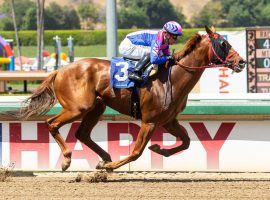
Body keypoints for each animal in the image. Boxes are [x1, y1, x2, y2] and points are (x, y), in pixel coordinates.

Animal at [1, 25, 246, 171]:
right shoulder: (149, 121)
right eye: (224, 44)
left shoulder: (168, 121)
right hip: (78, 107)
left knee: (82, 133)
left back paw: (105, 157)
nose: (242, 62)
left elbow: (185, 141)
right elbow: (136, 152)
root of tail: (60, 70)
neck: (173, 77)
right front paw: (110, 168)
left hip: (96, 107)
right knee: (51, 123)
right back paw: (69, 159)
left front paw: (159, 149)